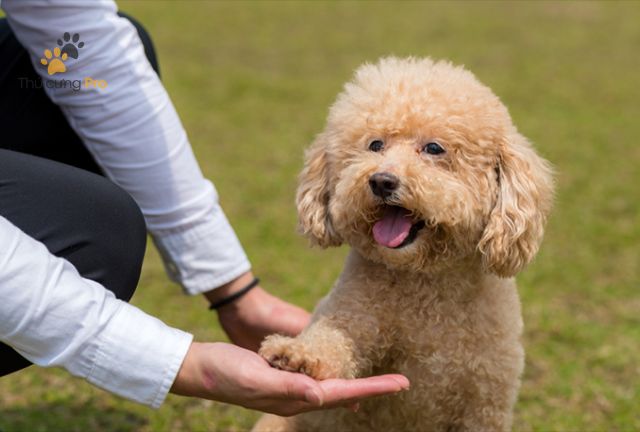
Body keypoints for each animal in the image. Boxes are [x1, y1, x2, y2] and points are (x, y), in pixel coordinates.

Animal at [255, 57, 554, 431]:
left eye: (434, 148)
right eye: (375, 145)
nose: (382, 181)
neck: (425, 283)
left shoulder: (485, 404)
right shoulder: (354, 314)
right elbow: (333, 339)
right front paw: (296, 354)